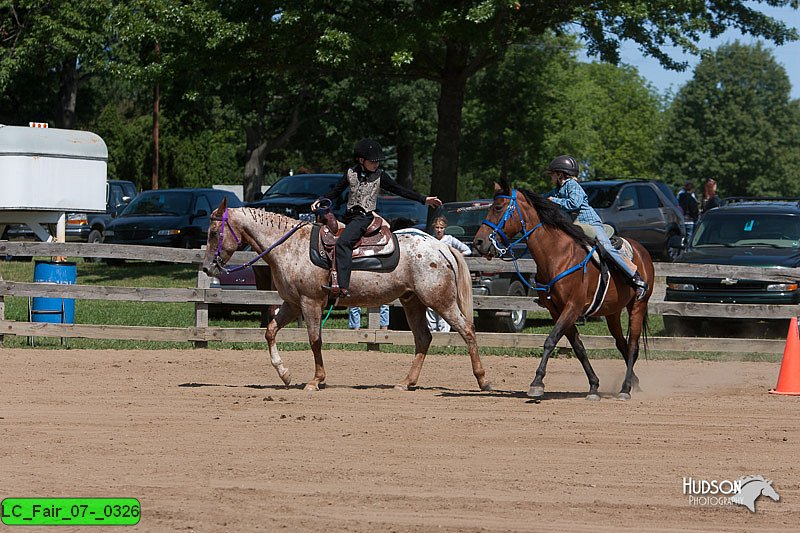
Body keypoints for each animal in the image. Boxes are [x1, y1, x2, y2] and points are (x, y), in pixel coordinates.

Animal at [200, 198, 490, 390]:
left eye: (214, 232)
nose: (206, 267)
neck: (291, 246)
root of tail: (440, 247)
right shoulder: (292, 303)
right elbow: (270, 331)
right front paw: (285, 375)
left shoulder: (310, 302)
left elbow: (315, 340)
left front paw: (316, 380)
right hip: (413, 302)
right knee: (423, 338)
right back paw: (406, 382)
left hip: (440, 301)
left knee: (467, 330)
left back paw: (483, 380)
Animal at [476, 181, 648, 396]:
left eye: (498, 207)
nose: (478, 242)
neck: (558, 255)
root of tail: (642, 252)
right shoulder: (556, 310)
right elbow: (578, 347)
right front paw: (593, 385)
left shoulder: (572, 307)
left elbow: (551, 340)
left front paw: (537, 383)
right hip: (612, 312)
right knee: (621, 343)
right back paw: (633, 382)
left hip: (637, 306)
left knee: (632, 346)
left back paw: (625, 389)